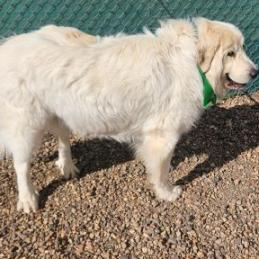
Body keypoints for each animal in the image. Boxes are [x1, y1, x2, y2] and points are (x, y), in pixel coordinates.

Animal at [0, 17, 258, 213]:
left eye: (243, 48)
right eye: (230, 54)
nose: (255, 72)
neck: (190, 61)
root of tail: (7, 47)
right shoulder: (163, 136)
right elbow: (161, 171)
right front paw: (166, 192)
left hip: (60, 111)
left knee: (62, 139)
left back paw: (67, 166)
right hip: (26, 126)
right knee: (21, 164)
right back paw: (27, 198)